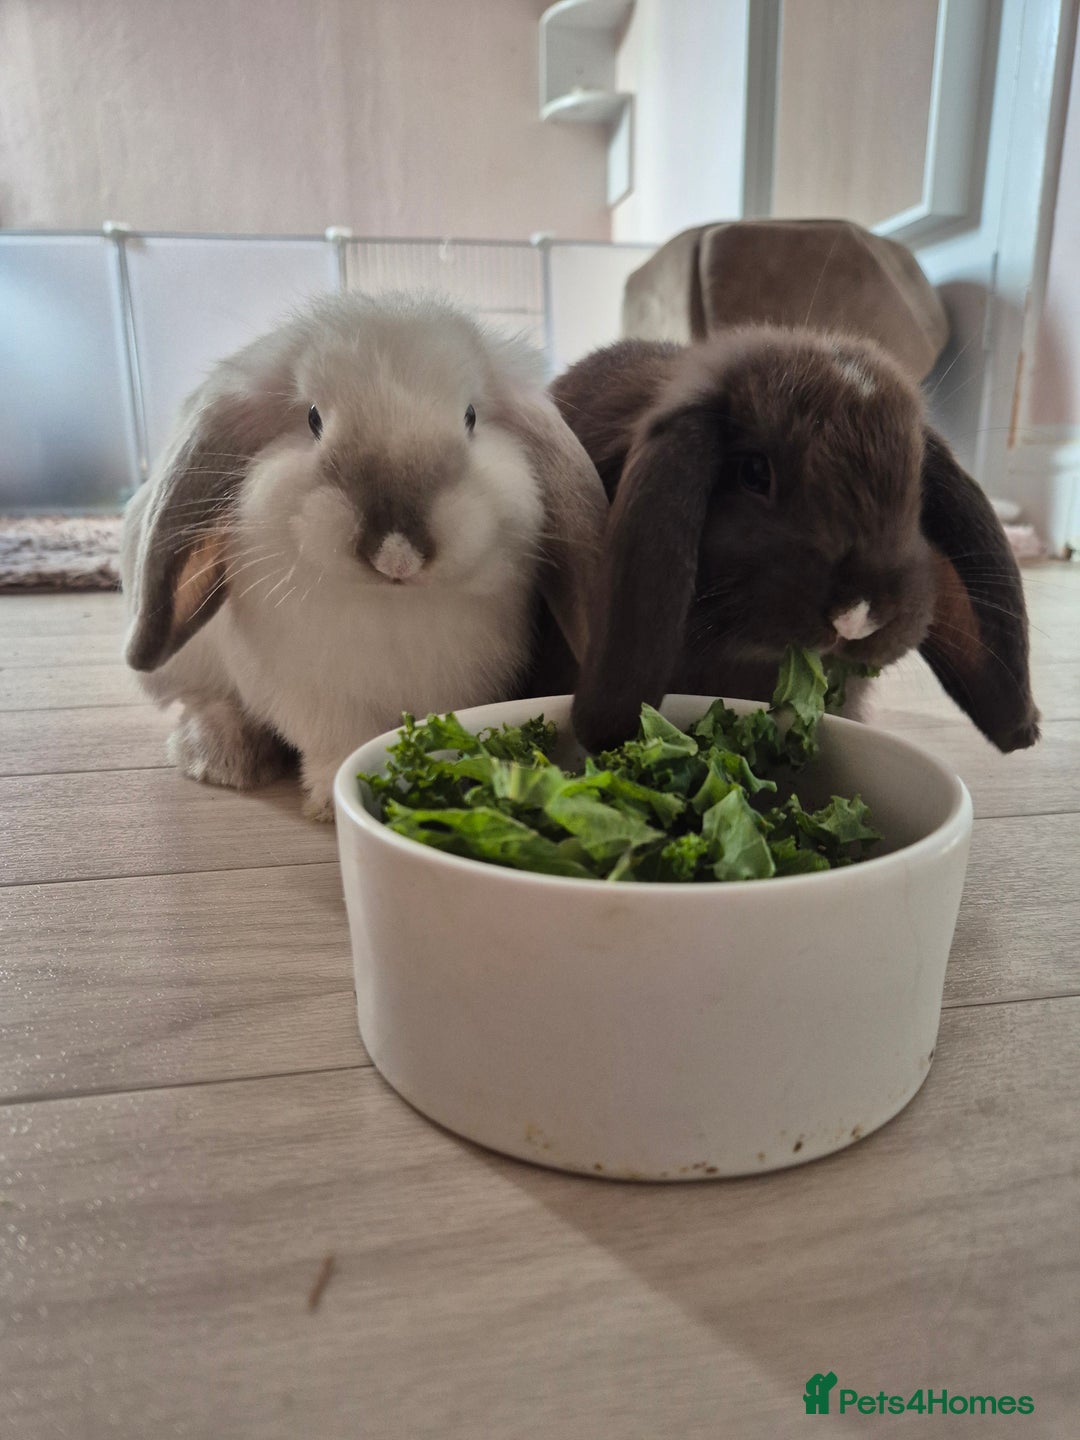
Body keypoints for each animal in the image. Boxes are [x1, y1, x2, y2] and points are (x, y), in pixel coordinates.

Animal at [121, 292, 607, 819]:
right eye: (313, 418)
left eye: (471, 416)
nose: (397, 553)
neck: (391, 605)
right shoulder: (323, 703)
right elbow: (338, 748)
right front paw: (334, 802)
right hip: (183, 664)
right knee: (202, 701)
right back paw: (223, 754)